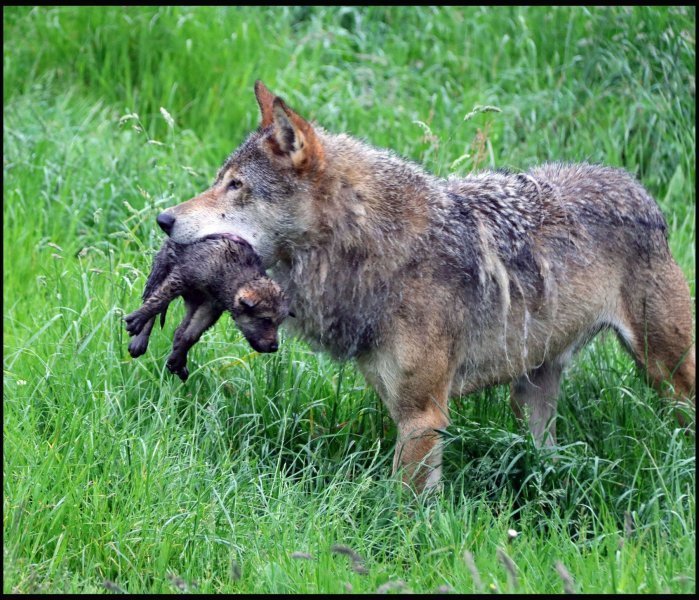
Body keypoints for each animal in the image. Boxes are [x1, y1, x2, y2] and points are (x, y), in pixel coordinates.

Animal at [156, 81, 696, 492]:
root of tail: (638, 187)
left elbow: (404, 510)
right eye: (218, 180)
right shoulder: (403, 407)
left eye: (236, 186)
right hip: (531, 392)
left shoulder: (422, 414)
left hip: (668, 374)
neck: (372, 246)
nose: (163, 219)